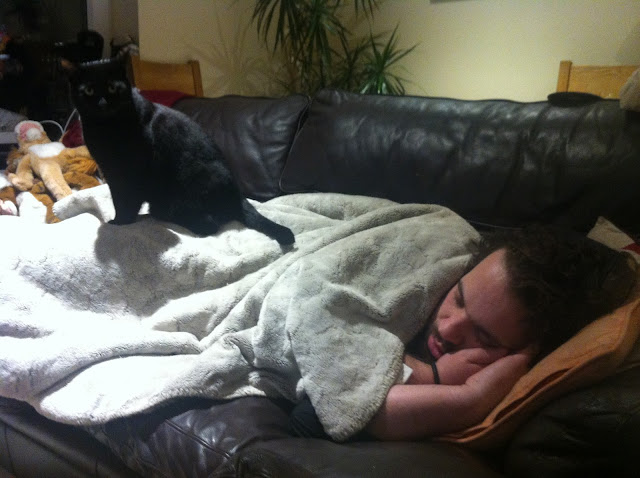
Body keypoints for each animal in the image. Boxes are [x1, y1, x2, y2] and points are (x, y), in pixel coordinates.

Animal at [63, 57, 295, 245]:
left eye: (112, 88)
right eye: (89, 91)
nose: (102, 103)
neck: (105, 129)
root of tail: (237, 195)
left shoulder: (130, 174)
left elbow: (126, 201)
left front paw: (119, 223)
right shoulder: (111, 172)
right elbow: (118, 198)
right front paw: (118, 220)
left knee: (211, 223)